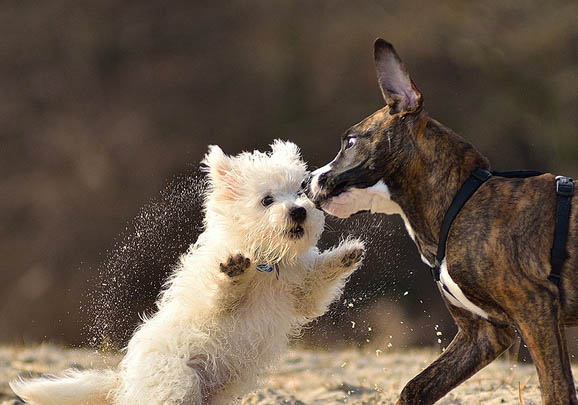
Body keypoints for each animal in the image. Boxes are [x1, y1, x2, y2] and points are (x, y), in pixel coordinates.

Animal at [11, 140, 362, 404]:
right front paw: (234, 271)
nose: (299, 211)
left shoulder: (301, 293)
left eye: (301, 193)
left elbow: (318, 281)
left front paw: (347, 254)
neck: (266, 262)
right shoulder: (213, 304)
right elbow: (221, 296)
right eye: (266, 200)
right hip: (176, 376)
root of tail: (124, 382)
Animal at [308, 38, 572, 404]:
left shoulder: (537, 307)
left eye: (350, 142)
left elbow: (557, 389)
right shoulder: (483, 335)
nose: (306, 182)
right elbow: (415, 387)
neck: (460, 201)